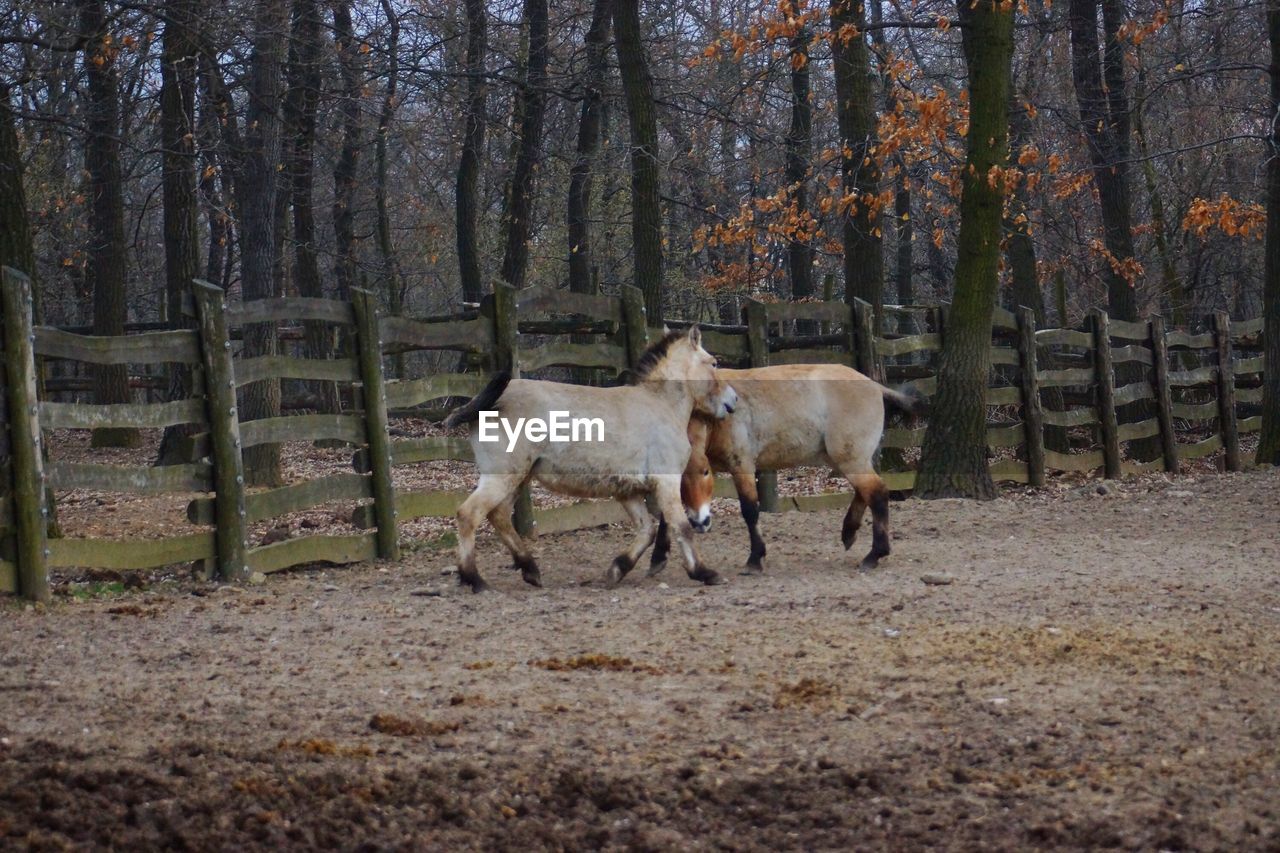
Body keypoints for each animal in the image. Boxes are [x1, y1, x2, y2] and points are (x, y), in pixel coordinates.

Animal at [442, 325, 737, 591]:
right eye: (713, 362)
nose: (732, 400)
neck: (659, 404)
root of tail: (484, 404)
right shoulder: (665, 482)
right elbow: (681, 527)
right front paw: (704, 573)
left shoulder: (628, 491)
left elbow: (647, 530)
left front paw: (617, 570)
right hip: (503, 477)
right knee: (469, 514)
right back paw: (475, 579)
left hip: (518, 478)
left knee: (499, 515)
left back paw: (530, 570)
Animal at [650, 361, 921, 573]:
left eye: (704, 472)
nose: (700, 523)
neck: (719, 413)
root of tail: (874, 386)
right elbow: (666, 513)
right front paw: (657, 560)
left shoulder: (742, 466)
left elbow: (750, 510)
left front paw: (755, 560)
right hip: (846, 459)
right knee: (865, 492)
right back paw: (849, 533)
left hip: (851, 460)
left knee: (877, 493)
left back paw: (874, 555)